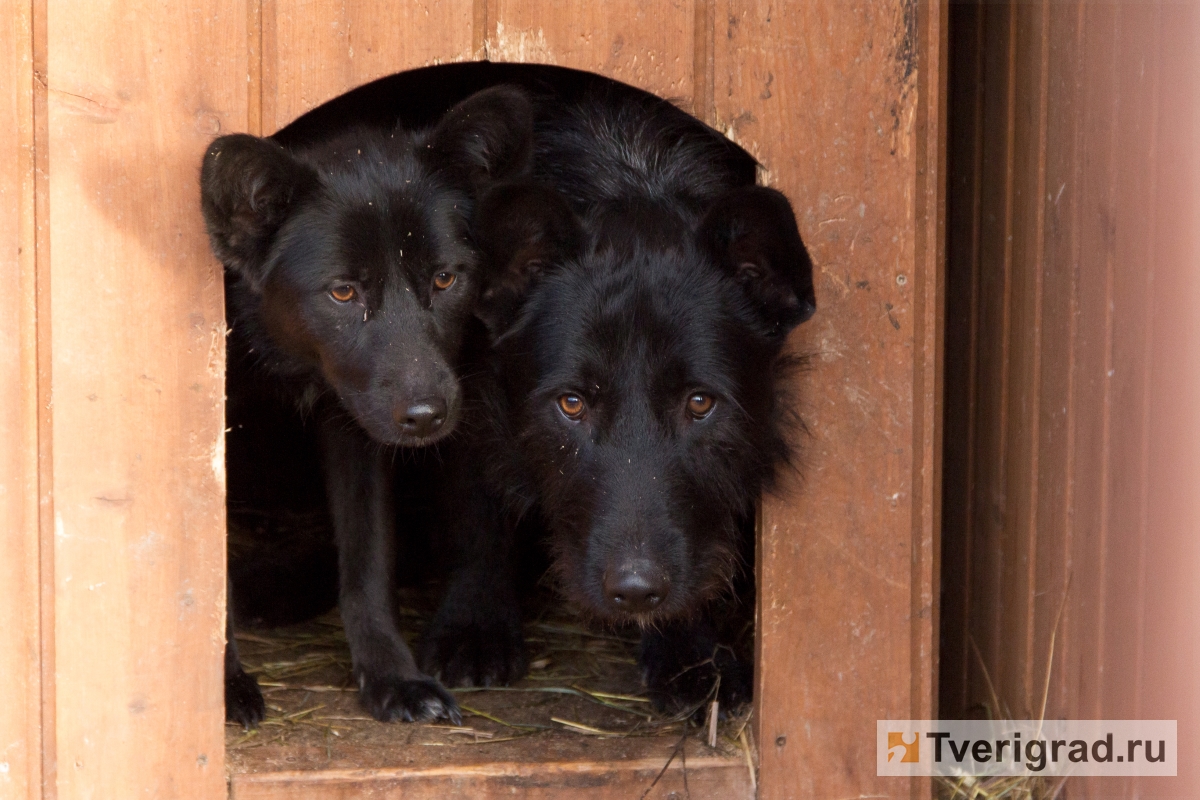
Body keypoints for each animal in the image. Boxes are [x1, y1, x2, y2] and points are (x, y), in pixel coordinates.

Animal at [200, 86, 535, 724]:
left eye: (445, 279)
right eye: (343, 292)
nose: (428, 416)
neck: (284, 358)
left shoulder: (355, 429)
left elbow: (369, 559)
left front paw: (393, 678)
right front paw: (224, 686)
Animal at [470, 92, 816, 714]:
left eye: (700, 403)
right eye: (572, 404)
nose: (635, 591)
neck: (633, 173)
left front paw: (690, 655)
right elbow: (476, 502)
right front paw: (474, 625)